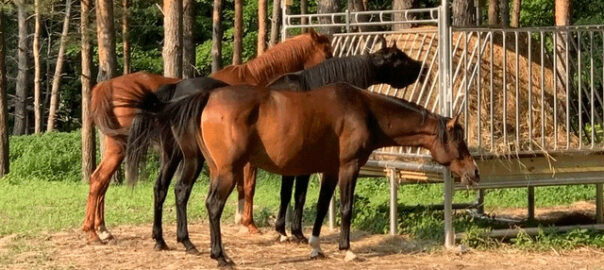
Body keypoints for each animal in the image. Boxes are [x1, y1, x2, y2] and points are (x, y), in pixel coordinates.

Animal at [82, 28, 332, 246]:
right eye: (327, 52)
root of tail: (108, 85)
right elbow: (248, 186)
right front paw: (248, 224)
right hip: (122, 148)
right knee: (99, 181)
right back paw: (92, 231)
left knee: (100, 182)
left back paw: (101, 230)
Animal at [186, 83, 478, 266]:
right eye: (459, 140)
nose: (474, 172)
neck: (365, 111)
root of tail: (209, 97)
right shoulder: (349, 167)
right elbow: (346, 208)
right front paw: (346, 250)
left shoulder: (330, 170)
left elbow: (321, 207)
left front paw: (315, 247)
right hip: (228, 171)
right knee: (214, 206)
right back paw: (220, 256)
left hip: (218, 171)